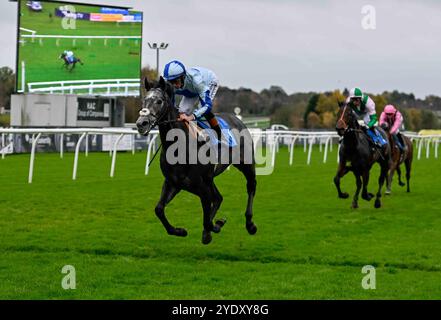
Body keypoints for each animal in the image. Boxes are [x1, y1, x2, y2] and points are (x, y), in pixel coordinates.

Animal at [136, 77, 256, 245]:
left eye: (159, 101)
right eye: (143, 101)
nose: (141, 124)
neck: (179, 145)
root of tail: (236, 119)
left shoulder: (201, 186)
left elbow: (207, 219)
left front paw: (215, 226)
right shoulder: (173, 183)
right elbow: (159, 209)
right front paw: (180, 231)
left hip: (246, 164)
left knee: (251, 186)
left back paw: (250, 224)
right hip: (210, 178)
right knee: (218, 197)